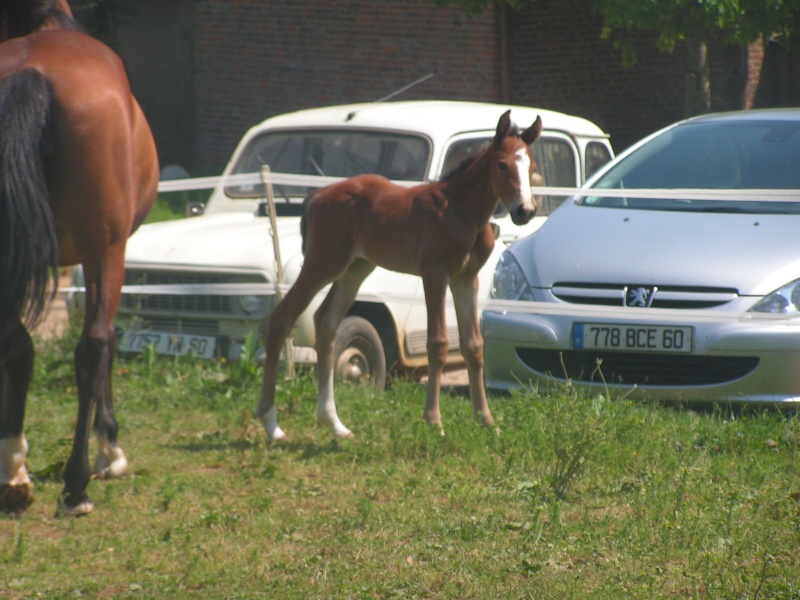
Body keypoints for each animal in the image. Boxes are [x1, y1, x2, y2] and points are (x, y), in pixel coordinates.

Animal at [0, 0, 159, 516]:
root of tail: (32, 71)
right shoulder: (107, 251)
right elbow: (106, 339)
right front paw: (110, 447)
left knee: (16, 340)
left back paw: (13, 467)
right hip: (103, 243)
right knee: (92, 345)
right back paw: (75, 483)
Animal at [260, 109, 540, 440]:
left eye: (532, 167)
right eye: (502, 164)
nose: (525, 210)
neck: (461, 210)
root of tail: (317, 195)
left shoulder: (465, 279)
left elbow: (473, 346)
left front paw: (486, 420)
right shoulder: (434, 274)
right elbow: (438, 343)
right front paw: (433, 420)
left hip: (355, 269)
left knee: (325, 322)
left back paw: (334, 423)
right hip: (323, 262)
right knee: (281, 317)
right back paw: (271, 424)